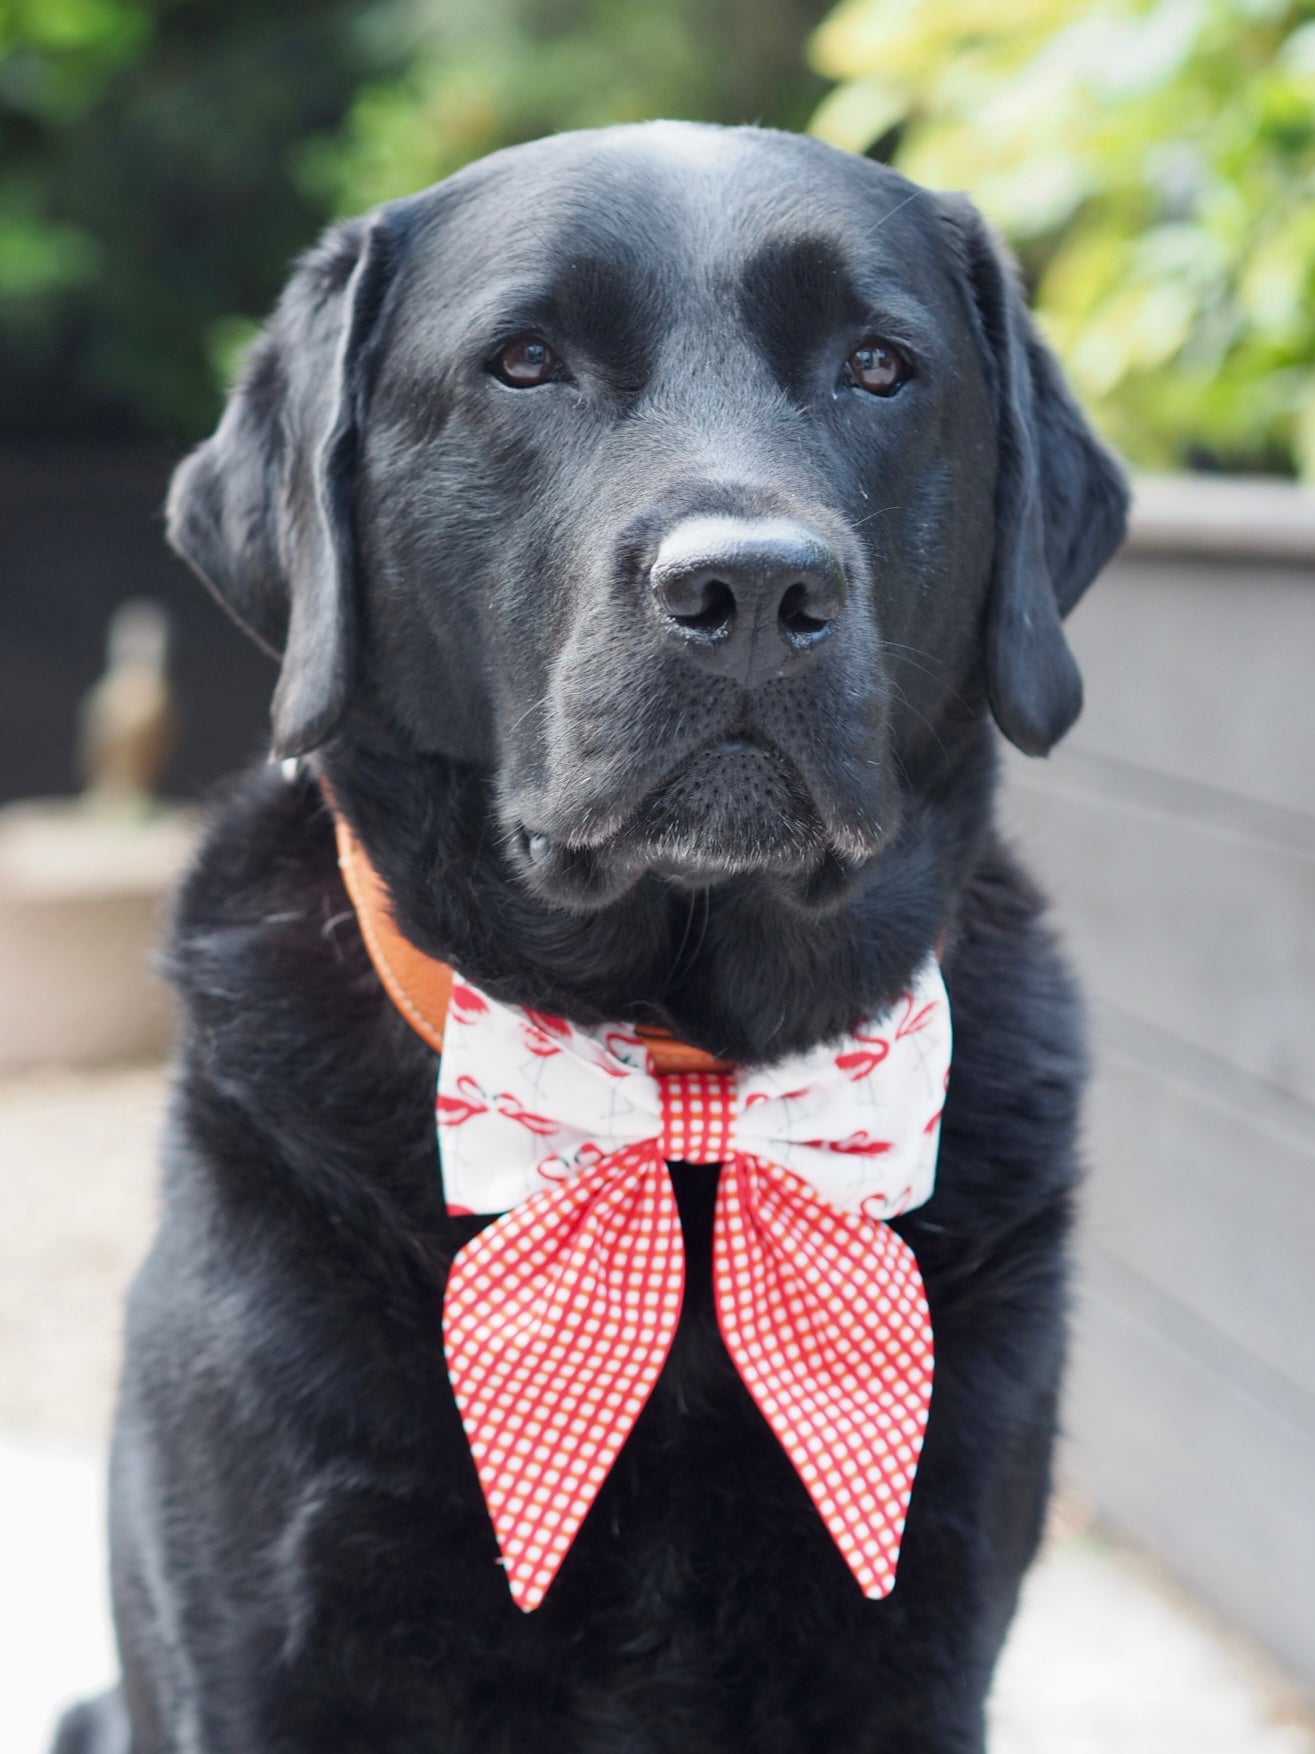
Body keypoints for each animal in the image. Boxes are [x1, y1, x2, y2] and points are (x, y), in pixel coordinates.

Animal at [56, 127, 1129, 1754]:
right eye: (524, 361)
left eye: (879, 367)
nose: (752, 588)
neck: (676, 1089)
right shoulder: (262, 1649)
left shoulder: (923, 1631)